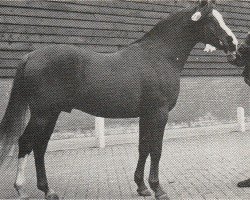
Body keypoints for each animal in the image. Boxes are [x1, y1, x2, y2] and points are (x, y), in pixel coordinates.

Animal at [0, 0, 238, 199]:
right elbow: (156, 150)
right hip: (43, 114)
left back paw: (46, 190)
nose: (233, 43)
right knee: (26, 142)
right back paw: (24, 189)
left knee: (39, 147)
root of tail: (31, 55)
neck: (159, 56)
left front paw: (142, 187)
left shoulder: (146, 115)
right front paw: (158, 189)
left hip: (51, 114)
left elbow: (143, 147)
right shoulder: (159, 113)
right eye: (211, 20)